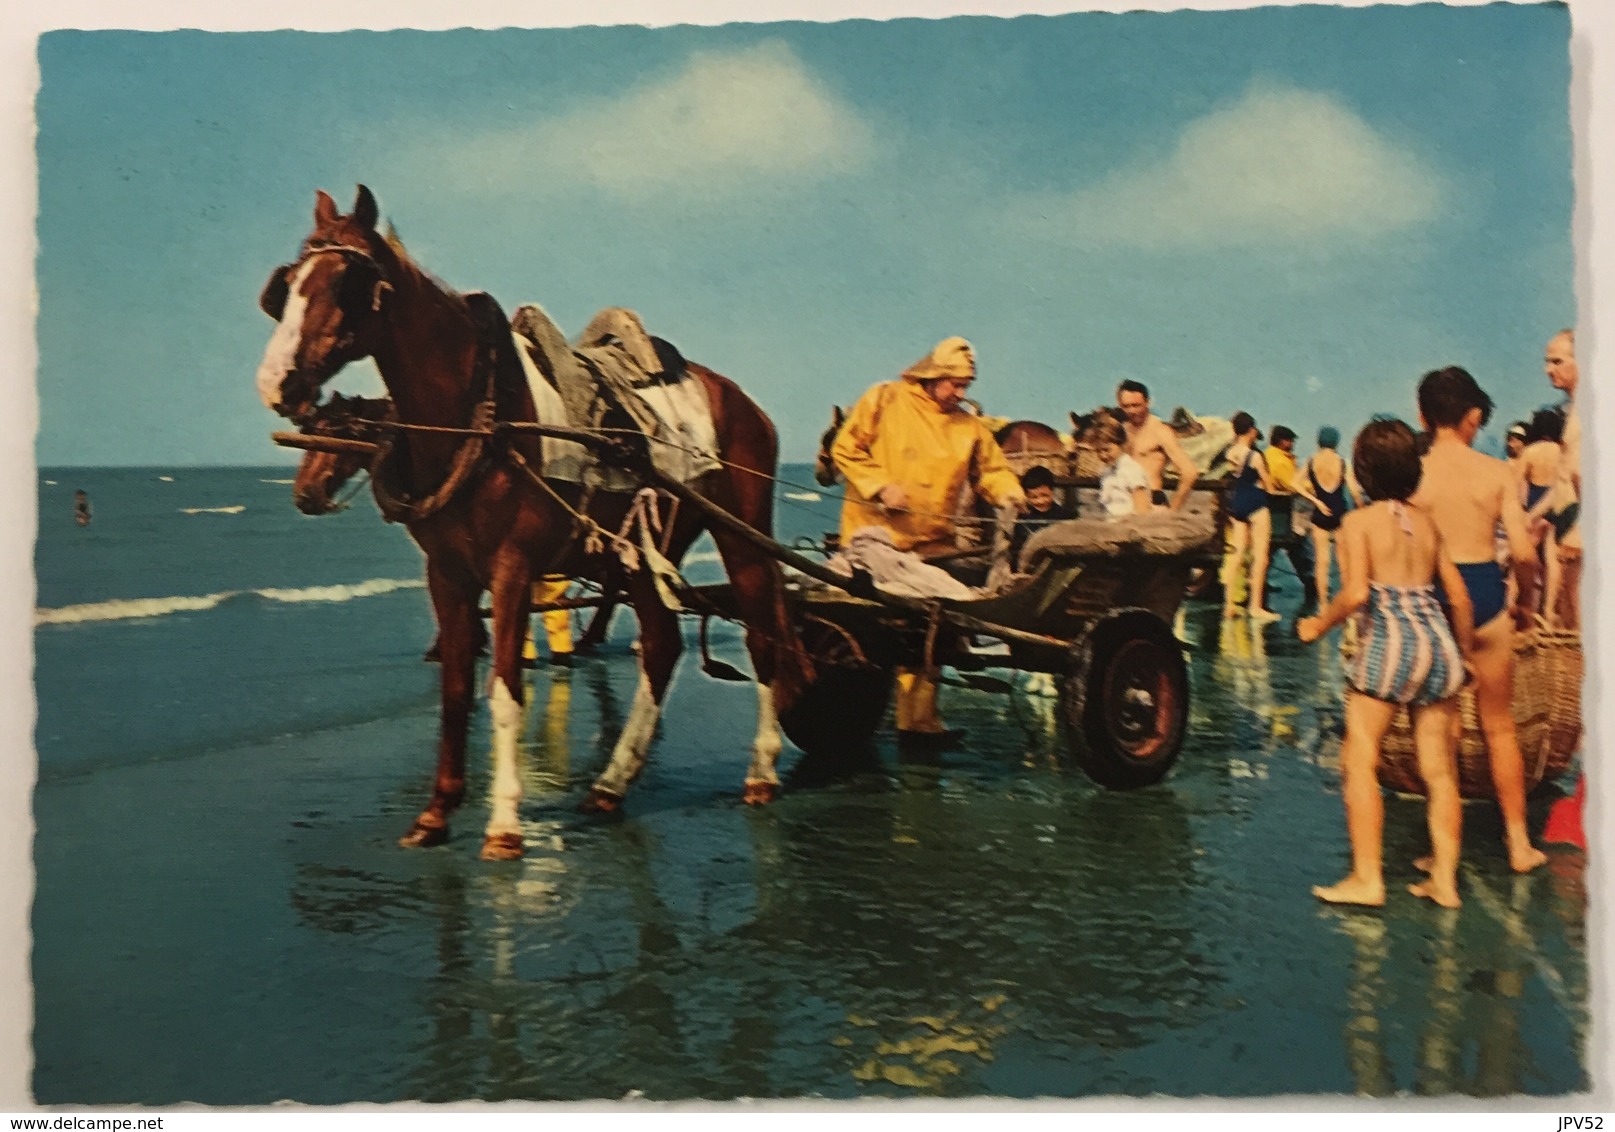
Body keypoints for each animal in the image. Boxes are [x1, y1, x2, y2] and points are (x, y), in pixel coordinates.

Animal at [260, 185, 813, 859]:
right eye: (288, 284)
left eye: (346, 281)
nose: (277, 382)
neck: (482, 411)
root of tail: (740, 398)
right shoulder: (447, 572)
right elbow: (455, 691)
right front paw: (436, 813)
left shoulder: (512, 568)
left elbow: (504, 691)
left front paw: (503, 822)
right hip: (646, 547)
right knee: (661, 644)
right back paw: (611, 783)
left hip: (741, 532)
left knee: (763, 636)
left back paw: (760, 769)